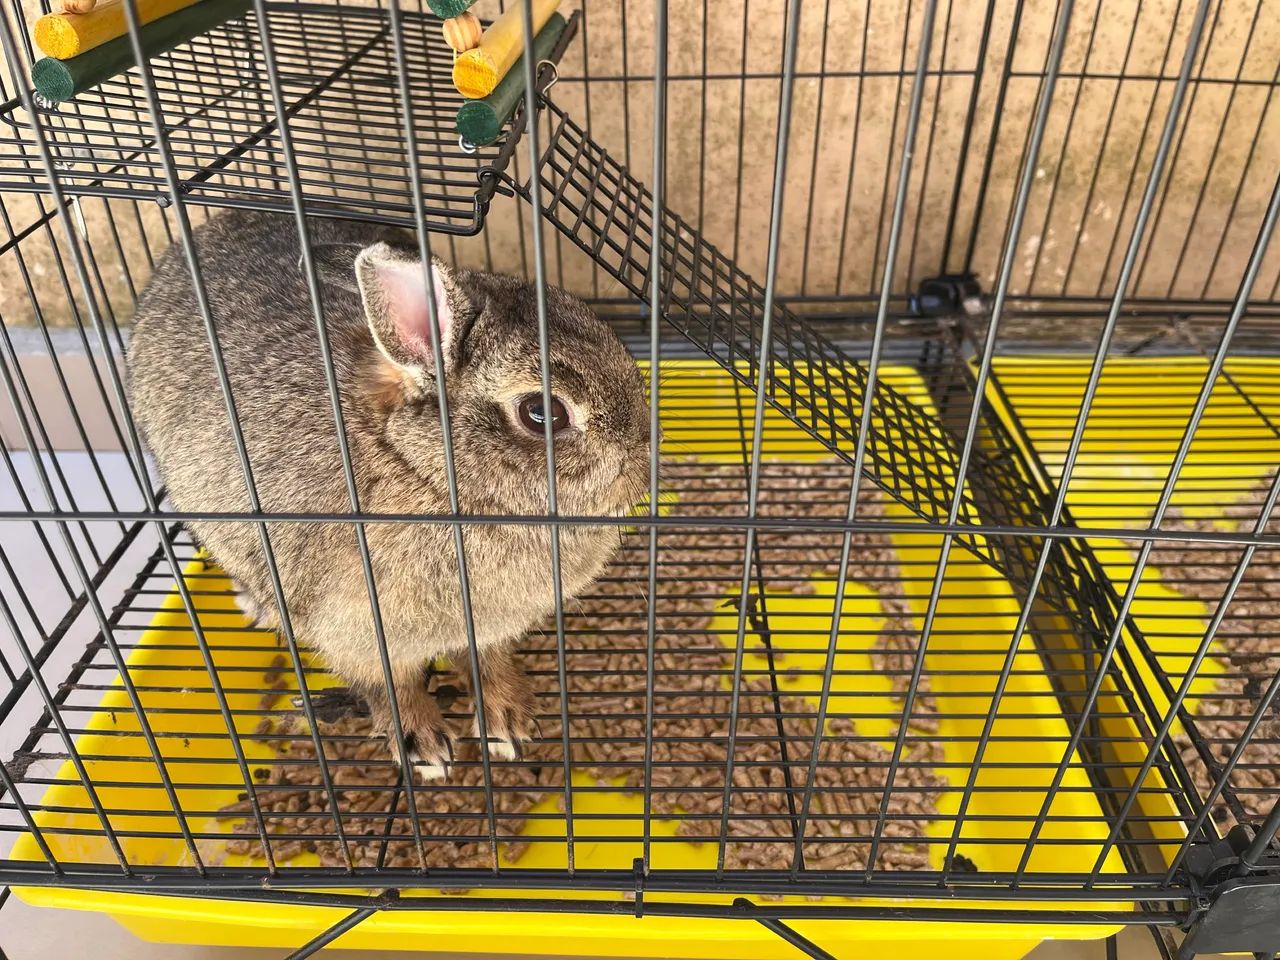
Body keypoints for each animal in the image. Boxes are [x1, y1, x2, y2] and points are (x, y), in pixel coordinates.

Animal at [127, 209, 650, 779]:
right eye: (542, 413)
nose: (644, 466)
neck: (424, 470)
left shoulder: (486, 628)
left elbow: (486, 664)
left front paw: (506, 722)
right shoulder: (354, 630)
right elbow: (389, 685)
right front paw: (423, 745)